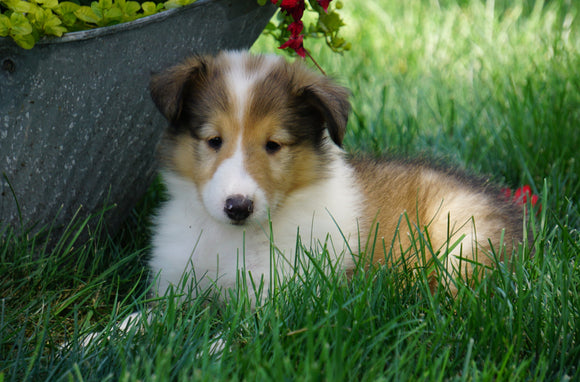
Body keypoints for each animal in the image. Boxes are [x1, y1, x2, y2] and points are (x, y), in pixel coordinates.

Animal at [147, 50, 524, 298]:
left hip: (462, 238)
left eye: (273, 145)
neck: (231, 237)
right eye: (214, 140)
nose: (238, 207)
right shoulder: (174, 282)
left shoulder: (277, 295)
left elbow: (235, 335)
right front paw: (131, 329)